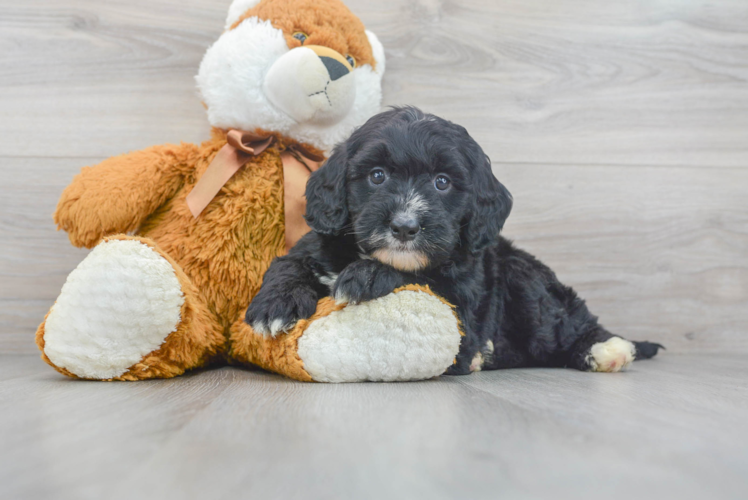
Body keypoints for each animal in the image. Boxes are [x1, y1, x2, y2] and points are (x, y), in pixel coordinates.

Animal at [245, 107, 660, 374]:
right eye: (377, 176)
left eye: (442, 182)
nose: (405, 226)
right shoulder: (320, 243)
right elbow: (288, 262)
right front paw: (274, 306)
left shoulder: (463, 299)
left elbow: (423, 279)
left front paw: (367, 275)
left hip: (524, 279)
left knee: (564, 322)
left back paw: (606, 348)